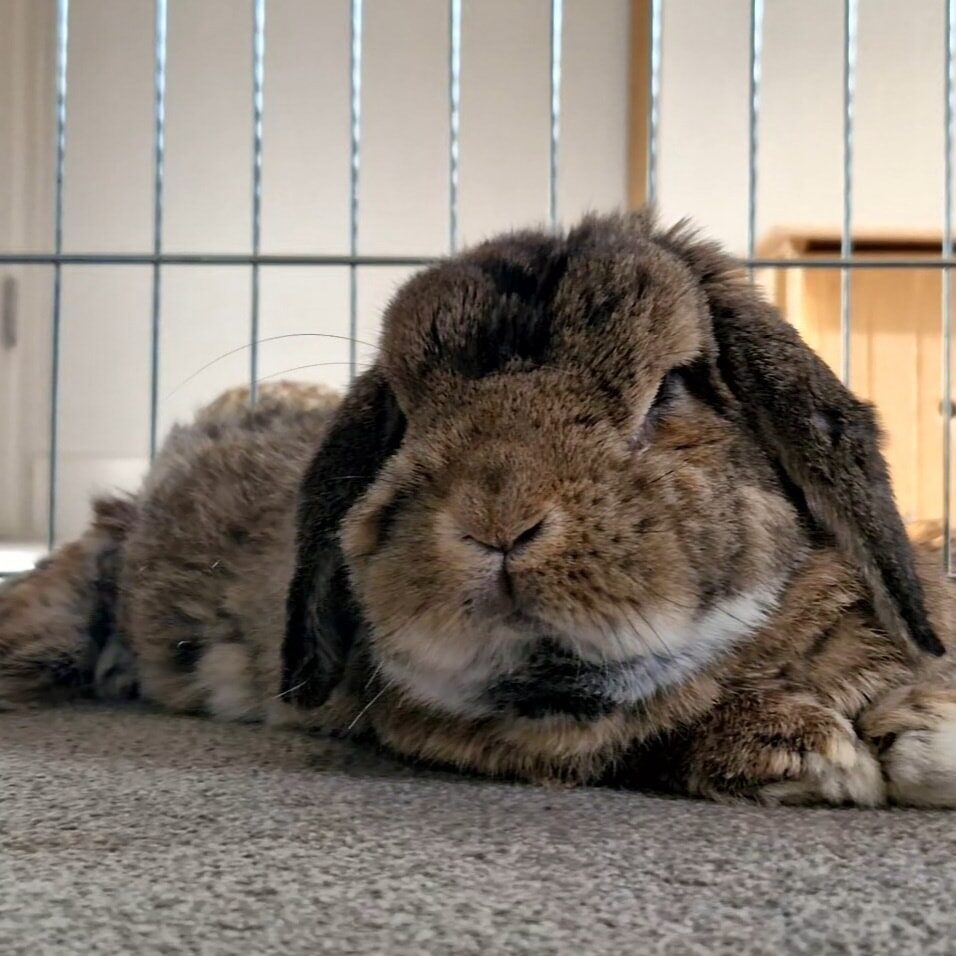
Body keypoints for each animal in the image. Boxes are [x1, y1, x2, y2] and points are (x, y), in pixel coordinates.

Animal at [2, 209, 955, 808]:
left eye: (674, 389)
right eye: (404, 414)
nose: (498, 520)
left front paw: (926, 724)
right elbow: (634, 744)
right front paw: (815, 753)